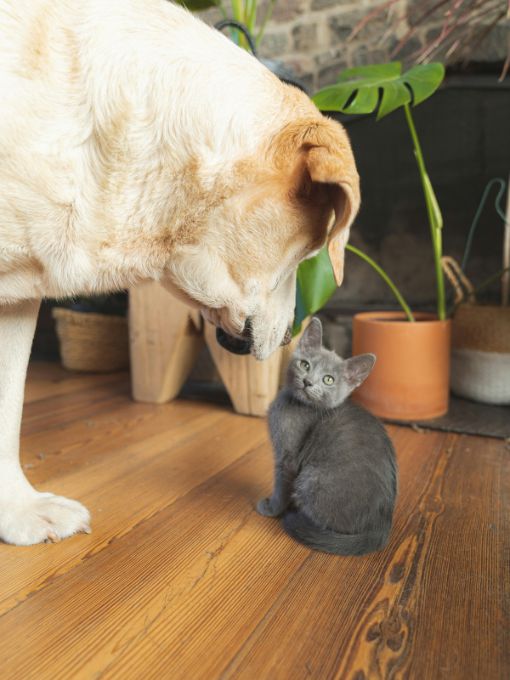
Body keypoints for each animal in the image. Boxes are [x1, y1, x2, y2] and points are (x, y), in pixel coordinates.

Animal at [256, 316, 396, 556]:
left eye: (328, 380)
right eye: (305, 365)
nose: (308, 381)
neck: (295, 404)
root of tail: (382, 526)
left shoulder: (288, 458)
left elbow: (281, 486)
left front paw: (272, 508)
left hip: (311, 479)